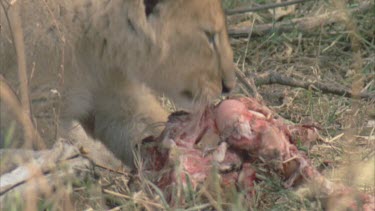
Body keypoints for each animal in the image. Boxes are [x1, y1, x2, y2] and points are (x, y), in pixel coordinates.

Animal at [0, 0, 235, 168]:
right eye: (209, 36)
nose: (229, 86)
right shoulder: (30, 110)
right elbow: (68, 150)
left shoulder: (116, 99)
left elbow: (148, 126)